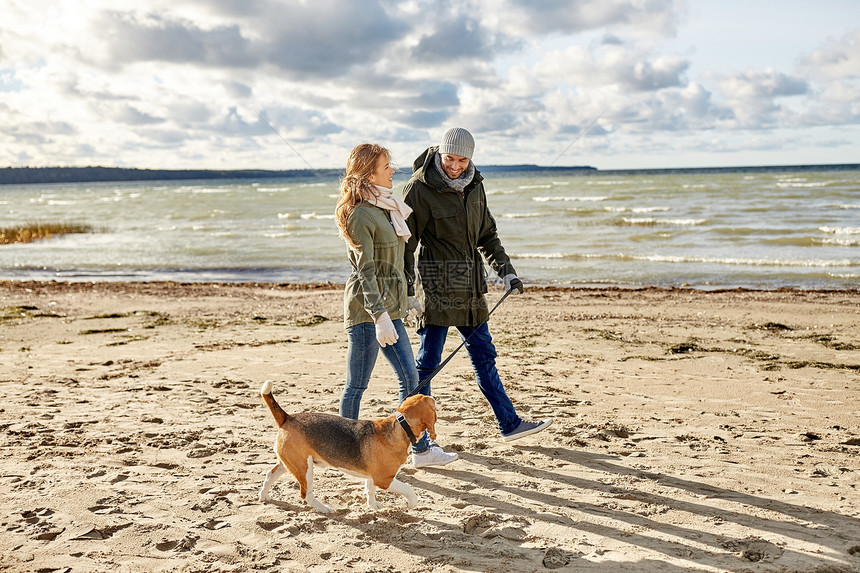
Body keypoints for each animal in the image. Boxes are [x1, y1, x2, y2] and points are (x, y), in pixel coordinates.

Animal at [256, 378, 436, 512]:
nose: (434, 397)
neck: (401, 424)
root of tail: (287, 417)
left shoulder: (372, 475)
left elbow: (370, 490)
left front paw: (372, 506)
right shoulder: (384, 479)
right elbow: (409, 489)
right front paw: (411, 503)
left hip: (290, 463)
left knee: (269, 475)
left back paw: (263, 496)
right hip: (304, 469)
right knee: (305, 493)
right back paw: (323, 508)